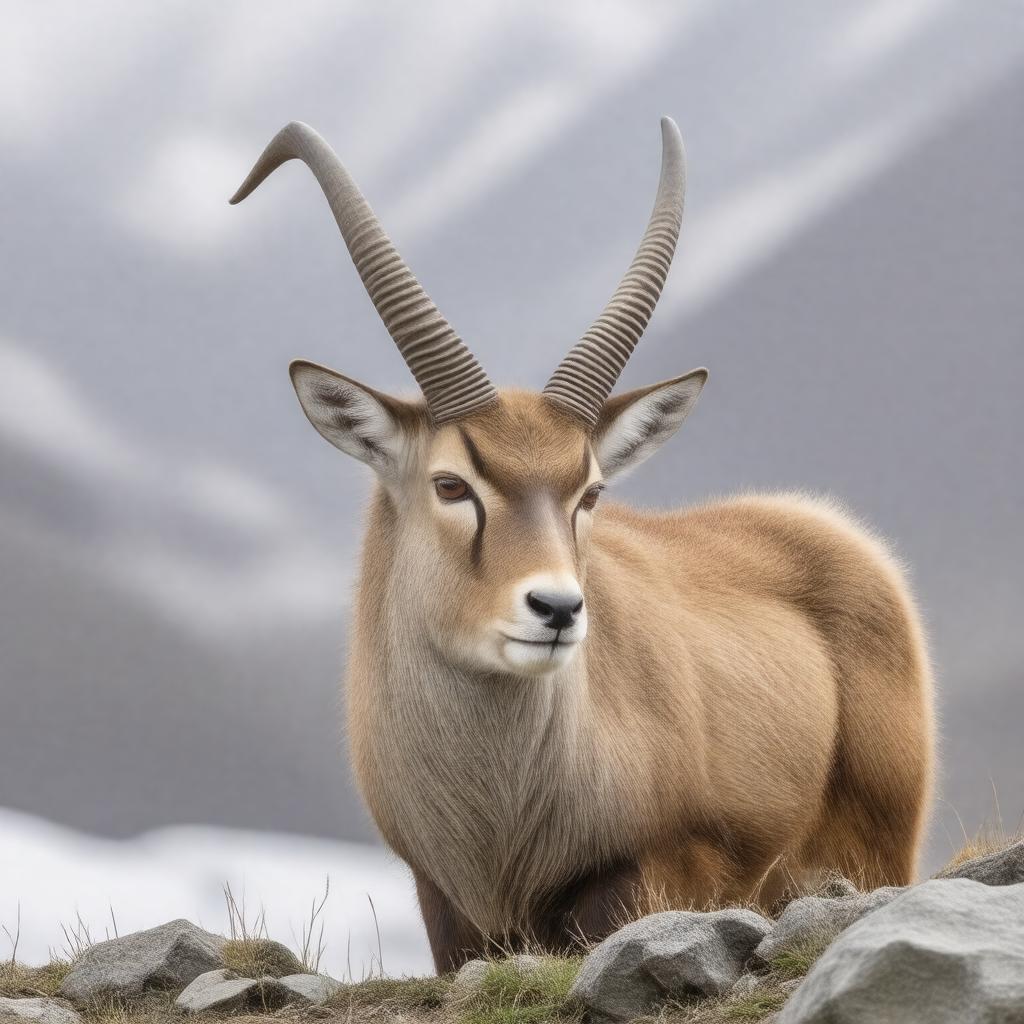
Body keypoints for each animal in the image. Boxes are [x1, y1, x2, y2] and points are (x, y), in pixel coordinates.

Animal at [231, 118, 935, 972]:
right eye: (451, 484)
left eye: (590, 490)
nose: (557, 609)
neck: (497, 816)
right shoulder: (447, 911)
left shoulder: (644, 876)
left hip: (872, 851)